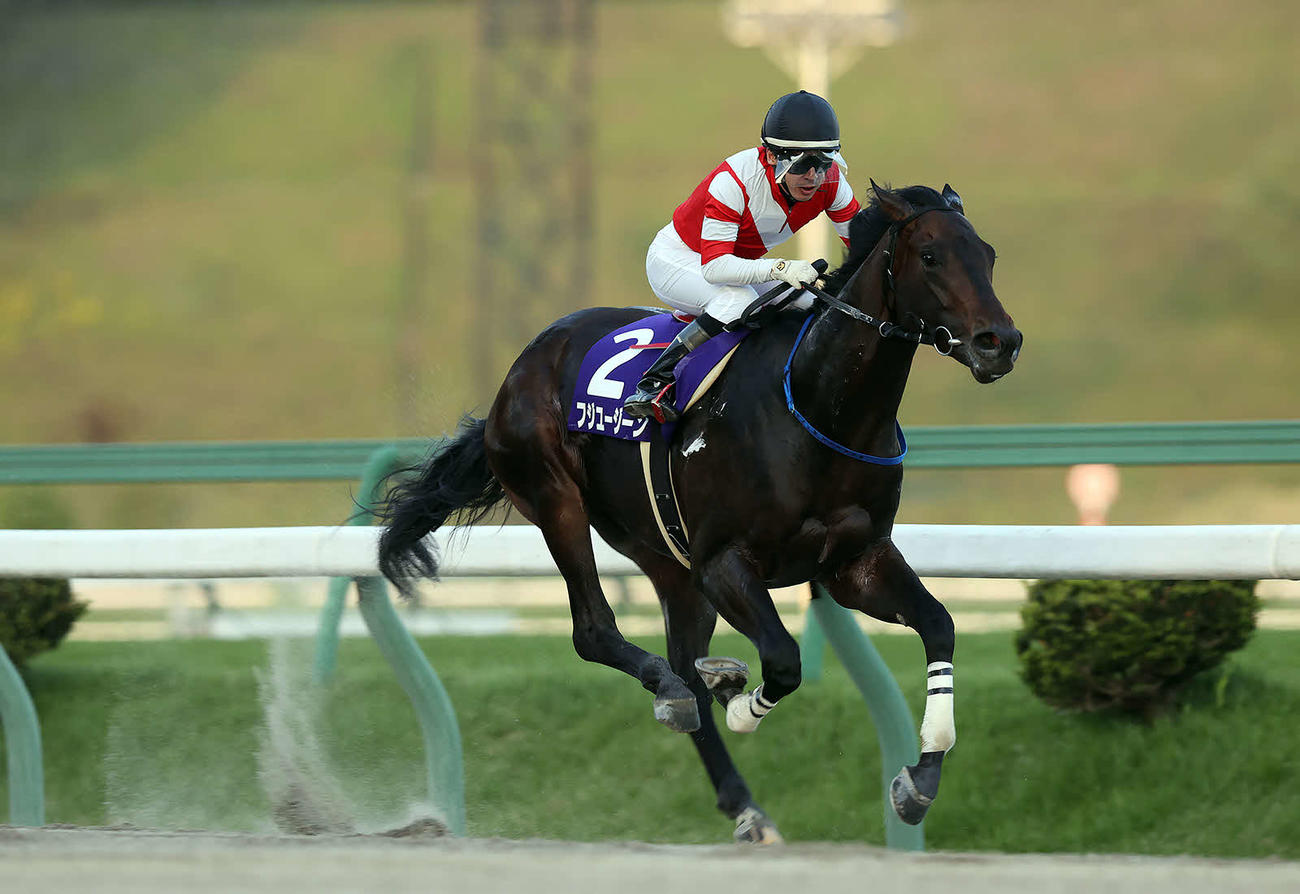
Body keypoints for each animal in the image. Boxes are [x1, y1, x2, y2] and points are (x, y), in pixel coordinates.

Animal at [377, 181, 1023, 843]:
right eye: (931, 257)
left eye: (990, 255)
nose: (999, 342)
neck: (818, 408)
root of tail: (524, 364)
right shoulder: (724, 562)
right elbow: (783, 661)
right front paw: (741, 701)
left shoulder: (855, 562)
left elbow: (939, 625)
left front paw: (920, 780)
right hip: (557, 499)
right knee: (602, 634)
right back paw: (678, 688)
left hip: (666, 558)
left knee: (684, 660)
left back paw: (742, 791)